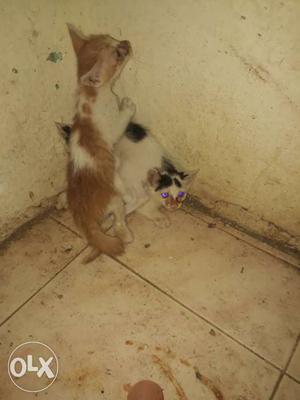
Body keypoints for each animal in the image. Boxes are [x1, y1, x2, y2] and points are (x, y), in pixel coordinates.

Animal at [67, 25, 136, 262]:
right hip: (115, 198)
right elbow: (122, 118)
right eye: (118, 54)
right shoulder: (112, 127)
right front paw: (128, 105)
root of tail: (83, 216)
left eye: (111, 38)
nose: (126, 42)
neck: (91, 93)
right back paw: (127, 235)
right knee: (119, 222)